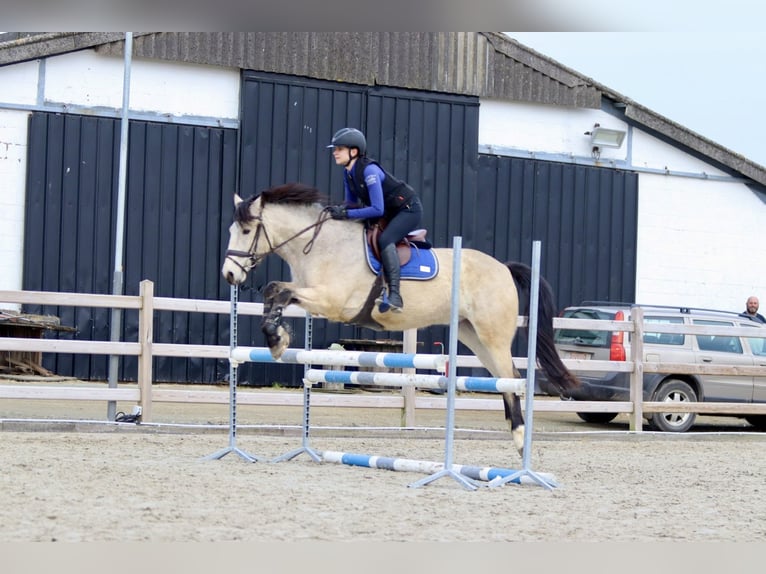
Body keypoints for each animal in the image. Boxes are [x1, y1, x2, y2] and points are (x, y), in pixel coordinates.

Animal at [219, 182, 580, 456]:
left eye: (247, 230)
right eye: (231, 229)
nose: (229, 275)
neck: (321, 245)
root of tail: (504, 267)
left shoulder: (332, 301)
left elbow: (278, 292)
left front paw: (277, 339)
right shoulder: (310, 293)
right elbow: (275, 291)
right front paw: (277, 338)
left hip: (493, 334)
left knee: (512, 378)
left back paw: (520, 440)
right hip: (473, 335)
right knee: (505, 379)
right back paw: (516, 438)